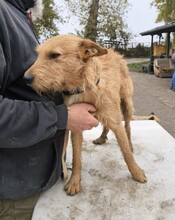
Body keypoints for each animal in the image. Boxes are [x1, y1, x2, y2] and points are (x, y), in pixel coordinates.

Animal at [24, 34, 147, 196]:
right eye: (38, 55)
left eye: (54, 55)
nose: (25, 78)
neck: (83, 88)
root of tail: (115, 52)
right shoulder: (76, 124)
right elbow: (76, 158)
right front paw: (74, 181)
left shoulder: (115, 120)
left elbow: (126, 152)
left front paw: (136, 172)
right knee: (107, 126)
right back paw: (101, 137)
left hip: (126, 103)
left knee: (127, 126)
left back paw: (130, 144)